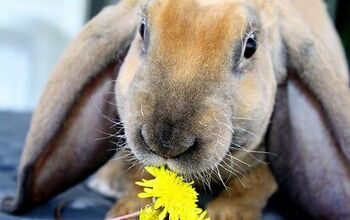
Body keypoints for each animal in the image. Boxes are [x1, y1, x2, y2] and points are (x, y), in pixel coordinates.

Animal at [0, 0, 350, 220]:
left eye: (251, 46)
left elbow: (253, 185)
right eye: (142, 28)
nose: (165, 142)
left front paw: (226, 216)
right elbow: (141, 174)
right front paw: (127, 209)